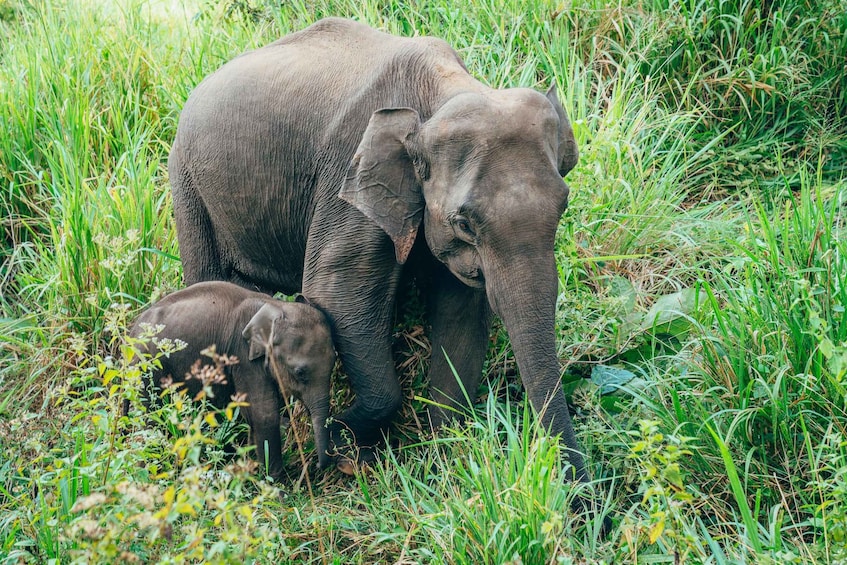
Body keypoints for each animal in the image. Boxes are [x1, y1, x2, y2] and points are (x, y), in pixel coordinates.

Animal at [129, 280, 334, 478]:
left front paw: (250, 467)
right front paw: (275, 483)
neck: (275, 306)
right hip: (146, 368)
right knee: (151, 420)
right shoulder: (243, 355)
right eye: (300, 372)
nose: (317, 465)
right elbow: (264, 414)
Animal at [172, 18, 588, 484]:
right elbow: (338, 295)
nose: (583, 496)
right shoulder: (349, 179)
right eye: (465, 224)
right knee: (208, 276)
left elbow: (460, 313)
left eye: (564, 205)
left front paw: (441, 455)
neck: (445, 90)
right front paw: (347, 444)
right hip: (187, 182)